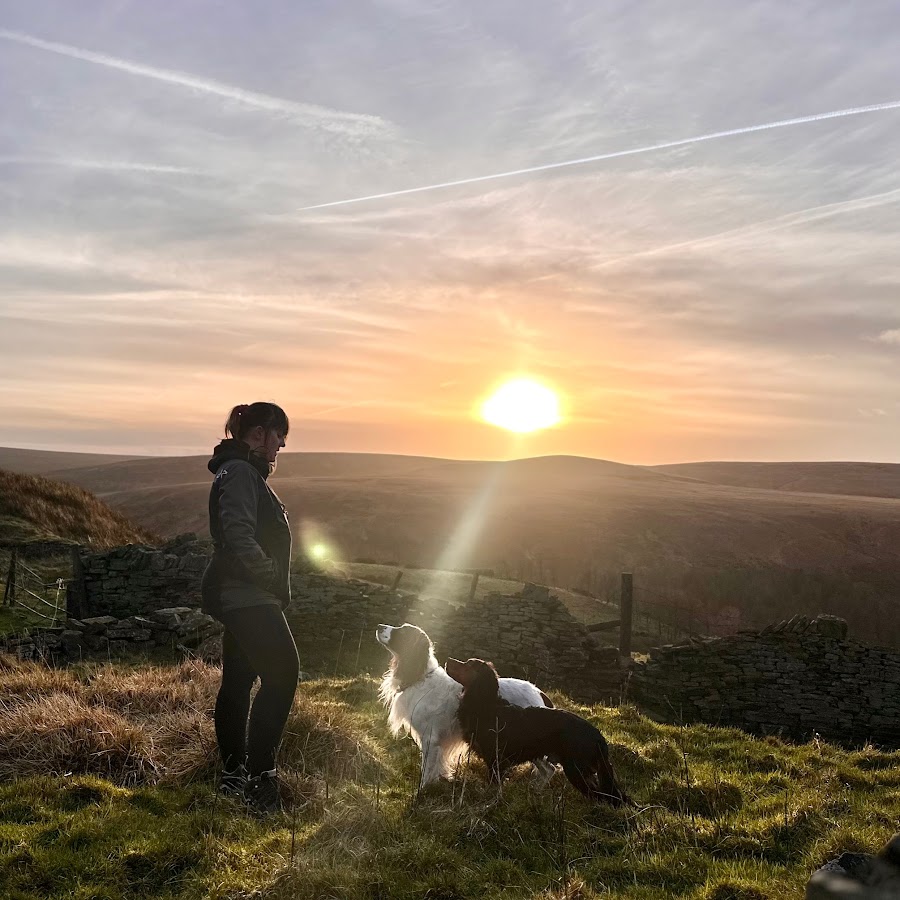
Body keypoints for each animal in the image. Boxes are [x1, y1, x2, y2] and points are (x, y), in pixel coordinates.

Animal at [377, 623, 554, 786]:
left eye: (403, 631)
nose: (379, 626)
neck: (421, 677)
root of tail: (540, 693)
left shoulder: (430, 739)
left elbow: (427, 771)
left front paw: (422, 791)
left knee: (550, 768)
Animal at [446, 657, 631, 806]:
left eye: (469, 664)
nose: (448, 661)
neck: (486, 704)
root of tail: (598, 737)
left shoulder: (496, 759)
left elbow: (494, 785)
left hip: (576, 770)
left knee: (600, 795)